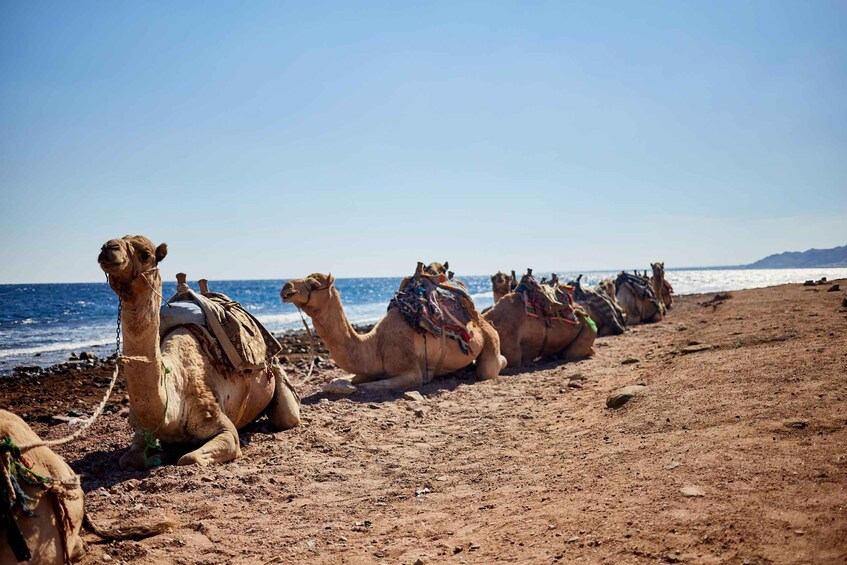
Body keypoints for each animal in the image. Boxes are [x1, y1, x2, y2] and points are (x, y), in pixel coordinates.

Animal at [98, 235, 300, 470]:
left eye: (146, 254)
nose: (108, 248)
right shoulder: (142, 433)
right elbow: (130, 458)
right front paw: (162, 454)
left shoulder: (225, 429)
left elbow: (190, 457)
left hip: (275, 373)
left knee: (287, 417)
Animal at [281, 271, 507, 393]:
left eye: (313, 284)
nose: (286, 287)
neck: (375, 343)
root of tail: (481, 319)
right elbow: (340, 380)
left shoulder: (412, 372)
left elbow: (369, 386)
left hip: (491, 338)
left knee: (492, 366)